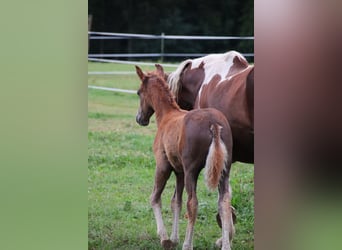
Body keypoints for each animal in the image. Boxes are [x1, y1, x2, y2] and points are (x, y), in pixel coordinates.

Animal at [136, 63, 235, 249]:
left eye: (138, 92)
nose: (139, 118)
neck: (167, 116)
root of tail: (213, 123)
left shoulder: (163, 166)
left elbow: (155, 198)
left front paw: (165, 238)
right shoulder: (179, 171)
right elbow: (176, 202)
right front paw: (173, 238)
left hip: (192, 171)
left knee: (193, 203)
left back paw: (187, 244)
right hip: (224, 170)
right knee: (224, 202)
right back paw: (225, 245)